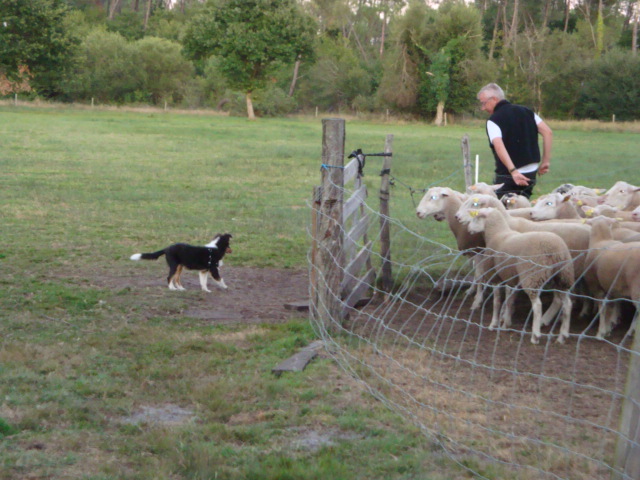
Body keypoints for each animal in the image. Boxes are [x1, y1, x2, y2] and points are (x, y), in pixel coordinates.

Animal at [460, 206, 574, 344]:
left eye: (476, 218)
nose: (469, 229)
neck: (497, 234)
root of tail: (554, 249)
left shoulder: (496, 276)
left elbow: (497, 302)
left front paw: (493, 324)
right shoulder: (511, 278)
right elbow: (509, 301)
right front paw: (506, 323)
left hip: (532, 276)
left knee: (537, 306)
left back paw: (535, 335)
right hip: (563, 277)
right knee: (567, 304)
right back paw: (562, 336)